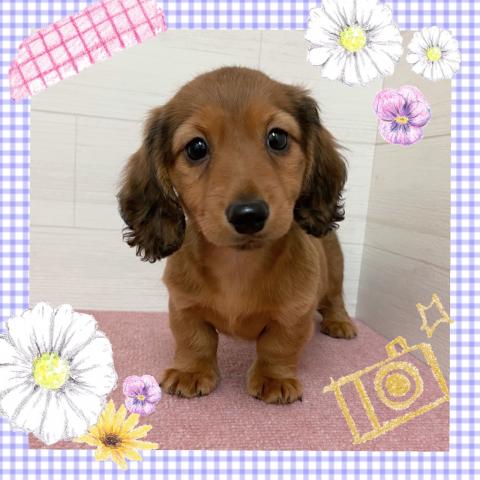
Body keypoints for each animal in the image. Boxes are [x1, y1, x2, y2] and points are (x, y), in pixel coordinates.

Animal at [117, 66, 357, 404]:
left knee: (335, 297)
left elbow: (278, 345)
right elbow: (195, 340)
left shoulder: (296, 312)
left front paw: (274, 378)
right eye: (196, 147)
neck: (238, 264)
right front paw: (190, 371)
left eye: (277, 138)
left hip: (335, 269)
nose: (249, 214)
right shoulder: (183, 304)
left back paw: (339, 322)